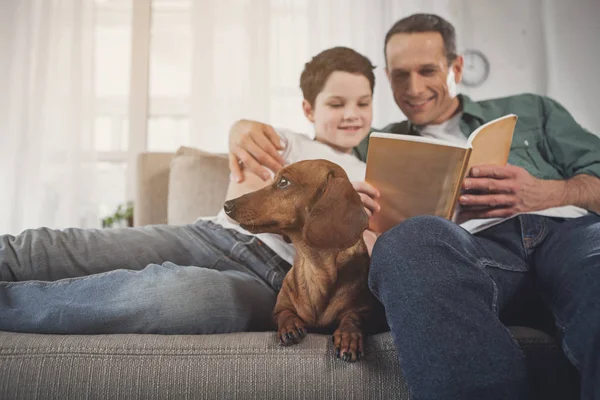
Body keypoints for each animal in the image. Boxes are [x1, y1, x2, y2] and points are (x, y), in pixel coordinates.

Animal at [223, 159, 382, 362]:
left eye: (283, 182)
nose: (227, 205)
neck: (314, 267)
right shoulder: (279, 309)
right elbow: (284, 313)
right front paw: (289, 326)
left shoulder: (365, 311)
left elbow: (353, 318)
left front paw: (349, 336)